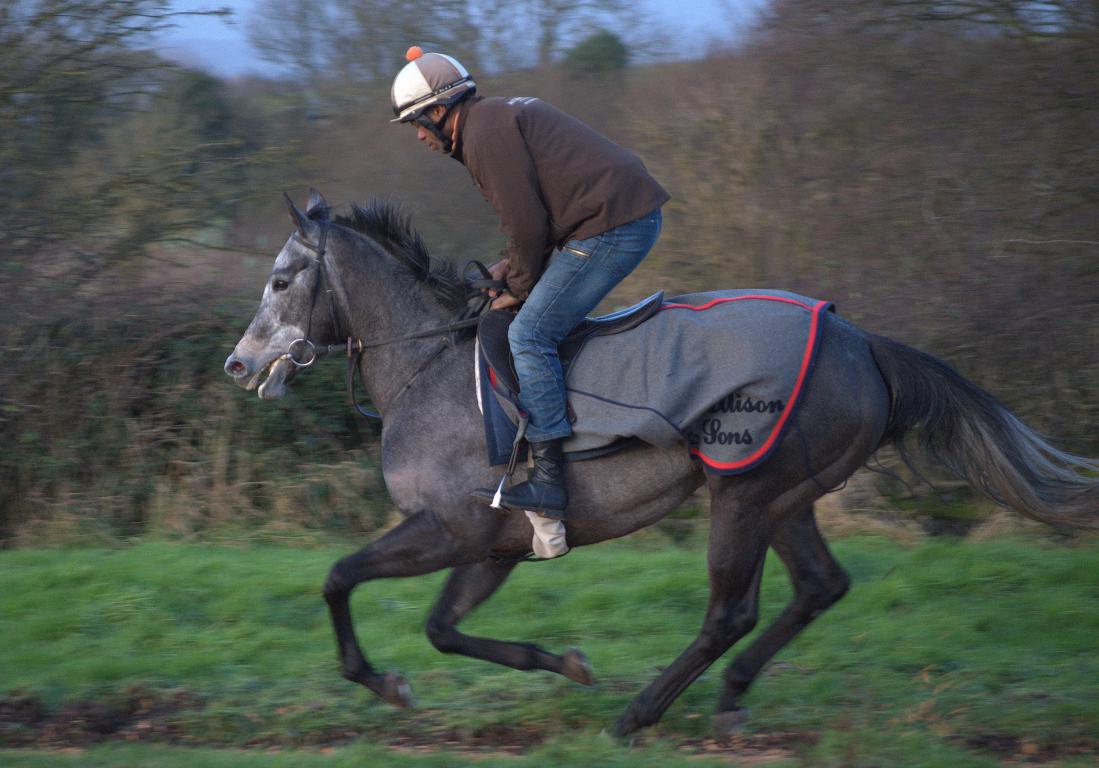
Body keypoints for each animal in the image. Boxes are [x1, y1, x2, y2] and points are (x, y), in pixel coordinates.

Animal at [224, 190, 1098, 737]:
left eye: (280, 279)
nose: (237, 364)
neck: (428, 365)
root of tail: (862, 344)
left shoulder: (450, 528)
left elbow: (340, 577)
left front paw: (383, 681)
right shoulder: (493, 544)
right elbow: (442, 628)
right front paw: (562, 663)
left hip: (743, 493)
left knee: (729, 612)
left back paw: (642, 712)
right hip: (786, 494)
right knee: (819, 586)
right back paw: (730, 698)